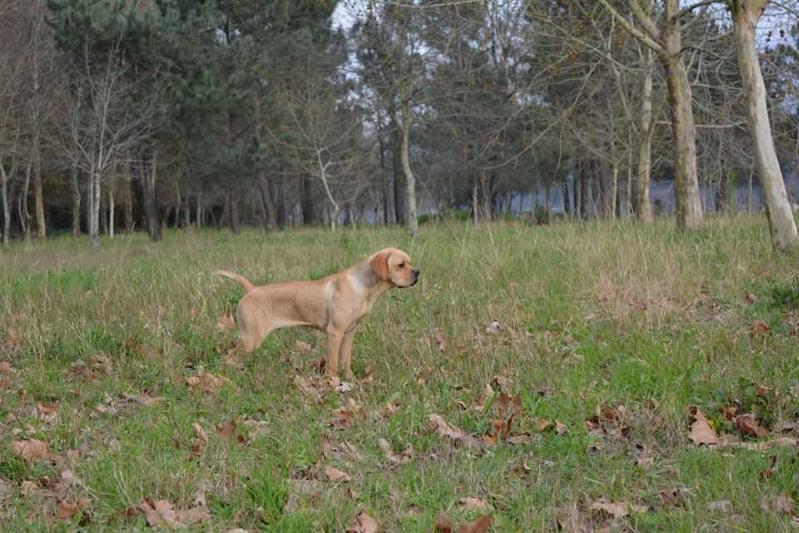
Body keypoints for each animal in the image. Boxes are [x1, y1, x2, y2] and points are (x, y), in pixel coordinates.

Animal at [216, 246, 422, 376]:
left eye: (410, 263)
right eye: (400, 265)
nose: (417, 272)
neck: (362, 286)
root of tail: (251, 290)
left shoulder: (349, 333)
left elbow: (345, 360)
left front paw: (350, 379)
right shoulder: (334, 332)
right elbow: (333, 363)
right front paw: (333, 383)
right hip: (251, 339)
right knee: (228, 356)